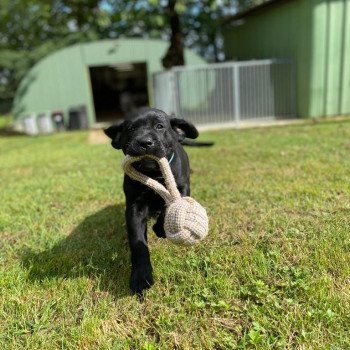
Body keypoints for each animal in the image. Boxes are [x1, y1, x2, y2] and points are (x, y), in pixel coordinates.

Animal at [104, 108, 200, 294]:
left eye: (159, 126)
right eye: (131, 129)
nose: (144, 142)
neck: (154, 175)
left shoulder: (182, 188)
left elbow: (170, 206)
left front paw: (161, 227)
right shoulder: (135, 206)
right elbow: (138, 242)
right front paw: (141, 276)